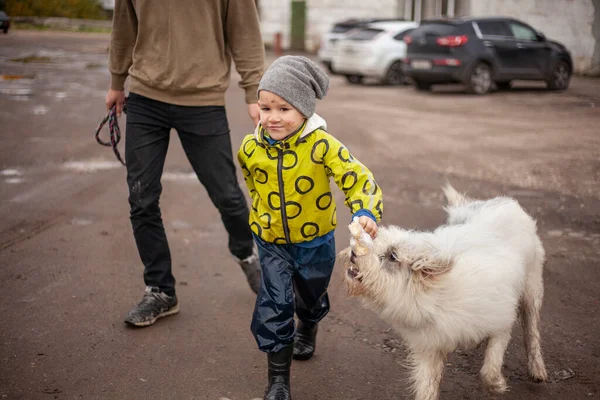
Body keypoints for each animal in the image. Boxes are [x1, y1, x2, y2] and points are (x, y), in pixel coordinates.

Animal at [340, 185, 548, 400]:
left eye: (393, 256)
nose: (353, 253)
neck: (435, 296)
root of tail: (506, 203)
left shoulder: (501, 324)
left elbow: (488, 370)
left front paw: (496, 386)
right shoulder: (429, 351)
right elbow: (426, 389)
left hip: (532, 290)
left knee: (531, 331)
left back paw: (537, 368)